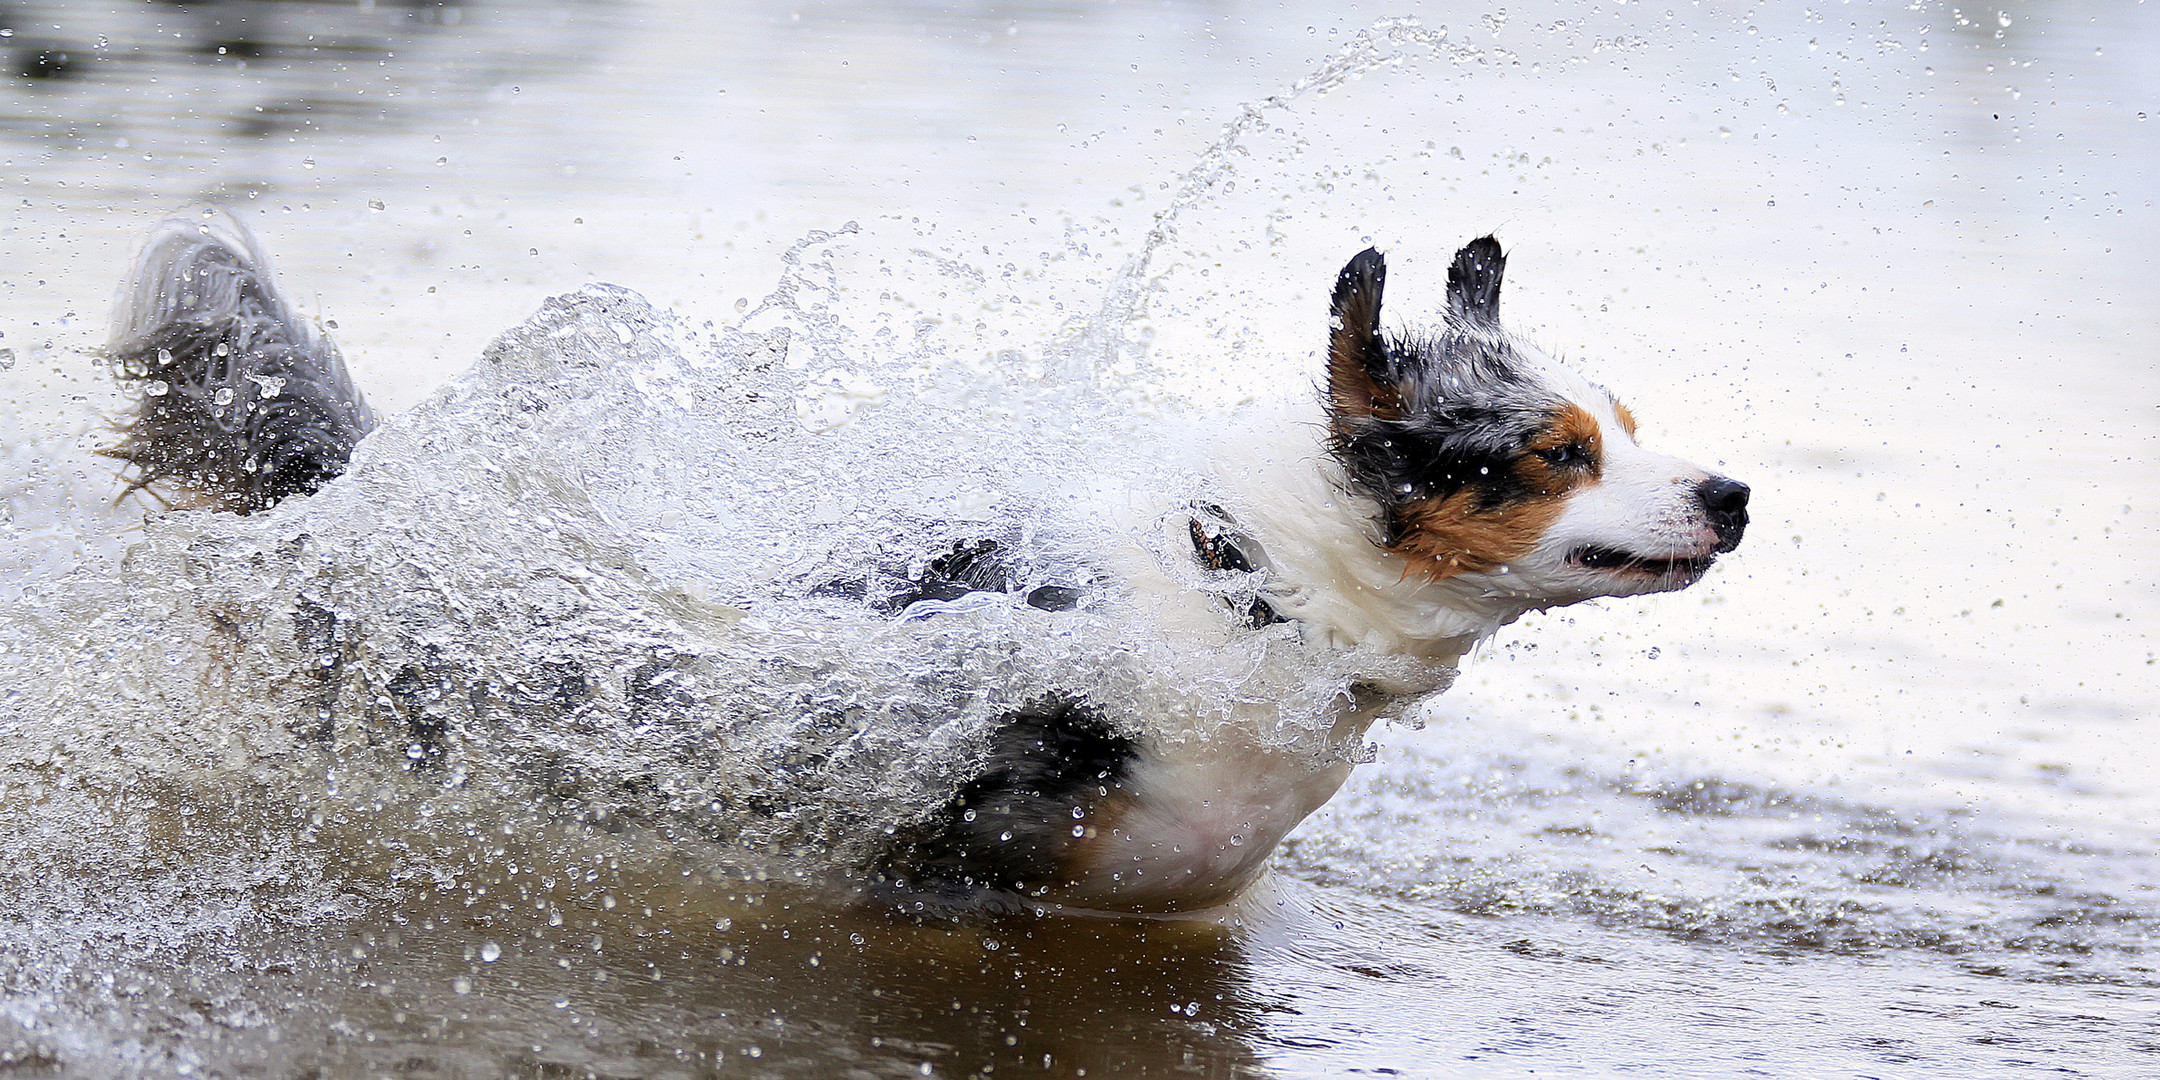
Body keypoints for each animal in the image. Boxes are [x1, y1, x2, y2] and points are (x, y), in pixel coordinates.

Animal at [109, 208, 1745, 911]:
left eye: (1627, 426)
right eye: (1556, 453)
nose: (1734, 493)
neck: (1251, 601)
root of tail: (364, 507)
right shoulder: (945, 879)